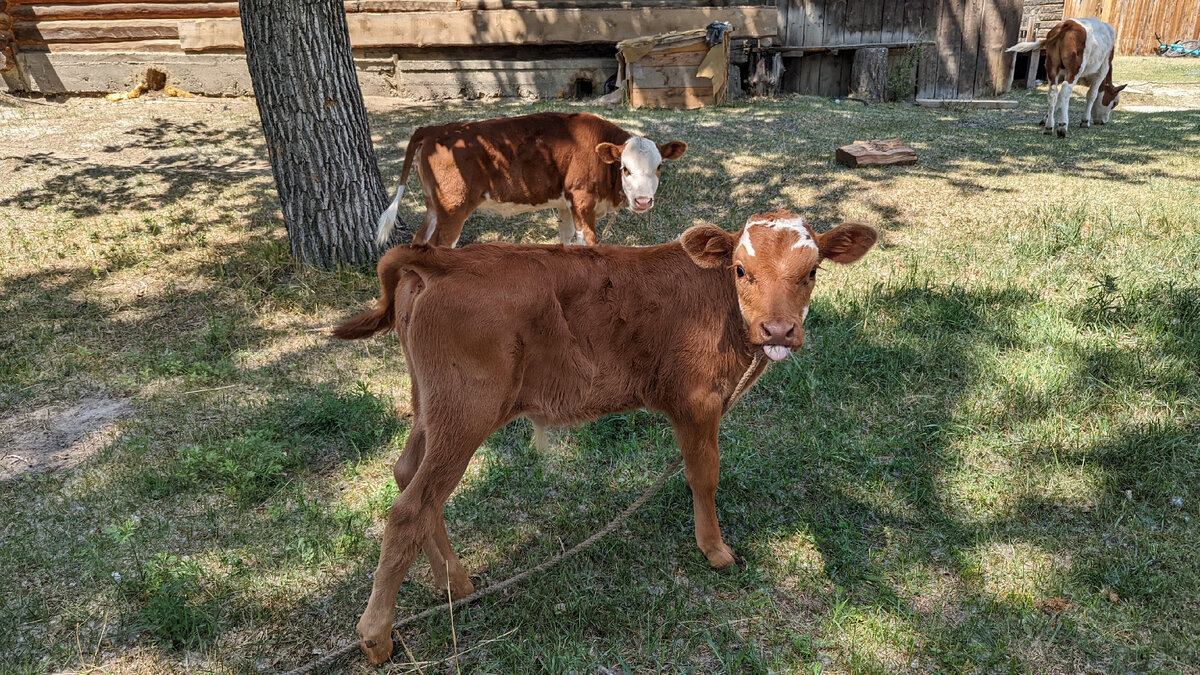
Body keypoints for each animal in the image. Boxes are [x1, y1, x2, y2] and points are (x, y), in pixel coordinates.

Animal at [333, 210, 878, 662]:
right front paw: (715, 550)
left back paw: (456, 583)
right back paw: (377, 637)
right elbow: (704, 475)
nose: (779, 330)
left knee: (408, 477)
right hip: (465, 411)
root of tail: (444, 259)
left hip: (431, 407)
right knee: (411, 509)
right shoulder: (697, 401)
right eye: (741, 270)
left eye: (812, 271)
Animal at [374, 111, 696, 248]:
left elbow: (565, 241)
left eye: (659, 167)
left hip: (435, 205)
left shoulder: (566, 204)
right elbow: (589, 242)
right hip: (454, 207)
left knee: (419, 240)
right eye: (625, 168)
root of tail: (435, 129)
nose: (643, 201)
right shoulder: (582, 199)